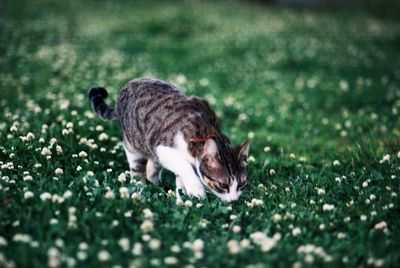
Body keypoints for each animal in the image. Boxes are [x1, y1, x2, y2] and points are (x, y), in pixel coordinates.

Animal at [89, 77, 248, 201]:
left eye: (242, 185)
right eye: (223, 185)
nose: (234, 200)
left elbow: (180, 179)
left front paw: (182, 199)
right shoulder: (163, 148)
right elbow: (184, 167)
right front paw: (196, 191)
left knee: (153, 168)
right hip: (133, 145)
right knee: (137, 171)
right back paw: (140, 189)